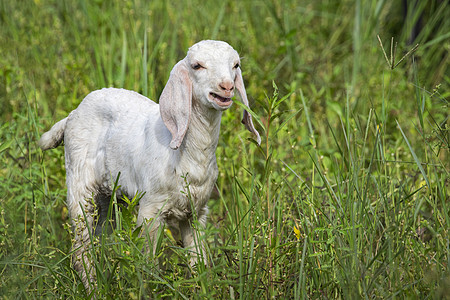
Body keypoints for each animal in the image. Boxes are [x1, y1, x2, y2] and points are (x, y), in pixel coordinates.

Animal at [40, 40, 262, 290]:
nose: (226, 87)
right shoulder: (150, 209)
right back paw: (92, 289)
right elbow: (148, 264)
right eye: (197, 65)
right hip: (79, 184)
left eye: (235, 65)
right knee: (81, 246)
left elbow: (198, 262)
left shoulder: (196, 212)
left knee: (97, 237)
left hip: (107, 197)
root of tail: (72, 114)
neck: (184, 153)